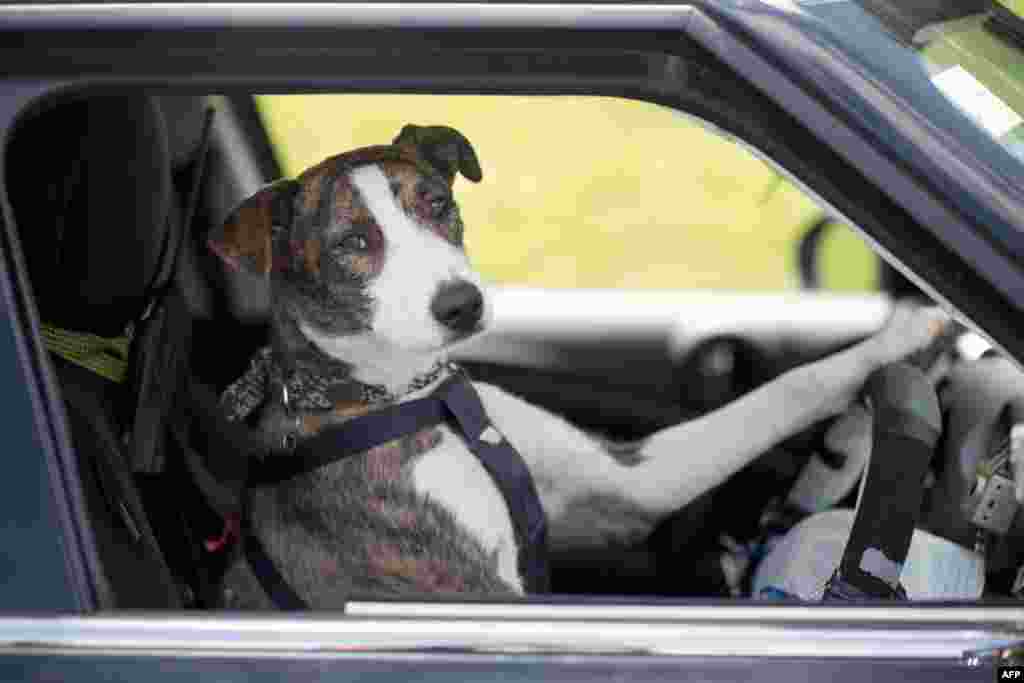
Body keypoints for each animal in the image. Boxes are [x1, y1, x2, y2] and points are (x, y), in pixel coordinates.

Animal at [207, 124, 950, 610]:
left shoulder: (624, 485)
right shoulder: (473, 596)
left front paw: (904, 340)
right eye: (353, 243)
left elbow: (792, 385)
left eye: (439, 205)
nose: (462, 304)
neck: (404, 396)